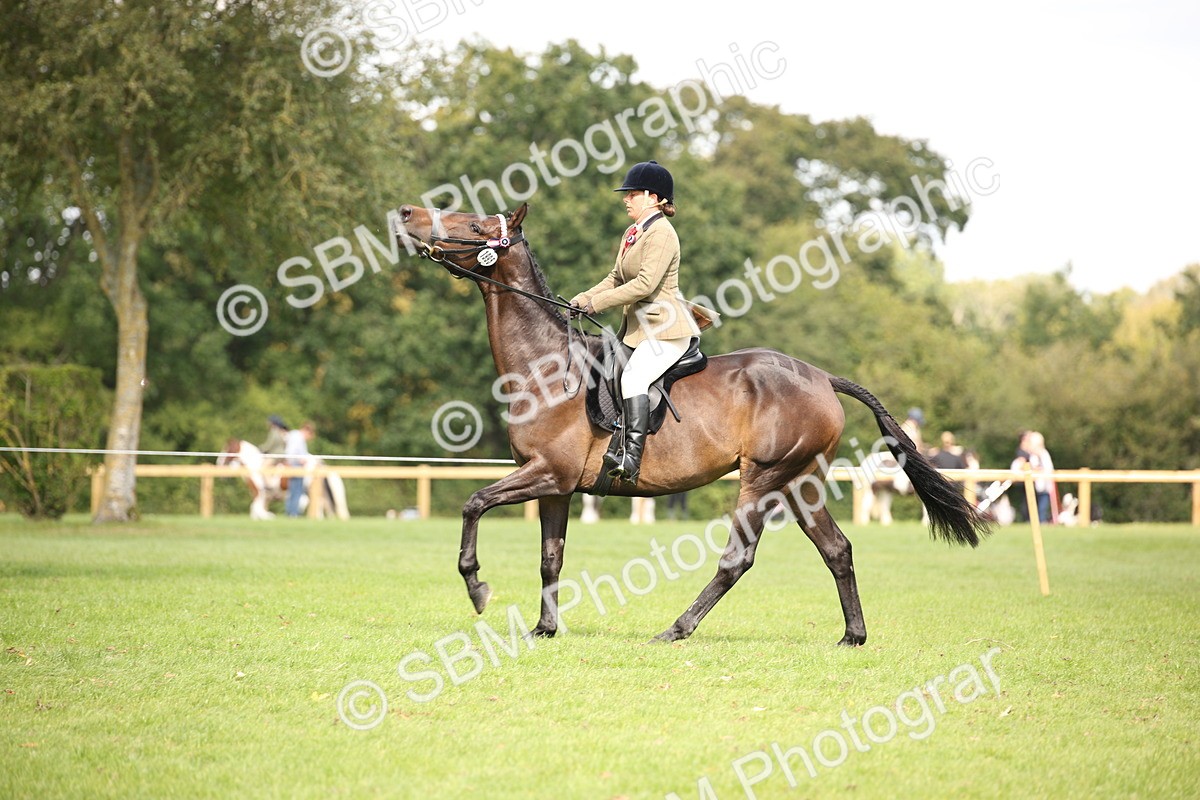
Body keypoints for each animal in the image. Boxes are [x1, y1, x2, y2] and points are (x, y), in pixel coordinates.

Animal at [217, 439, 350, 520]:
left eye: (226, 450)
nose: (218, 463)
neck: (254, 464)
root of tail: (318, 461)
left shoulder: (259, 491)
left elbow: (256, 506)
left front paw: (268, 516)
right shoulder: (264, 495)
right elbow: (255, 507)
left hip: (307, 487)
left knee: (309, 501)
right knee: (319, 503)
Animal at [394, 202, 990, 646]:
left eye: (475, 227)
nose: (407, 213)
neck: (546, 367)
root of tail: (822, 378)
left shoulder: (548, 474)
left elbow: (473, 503)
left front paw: (477, 587)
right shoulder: (557, 487)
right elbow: (550, 557)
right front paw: (544, 629)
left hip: (763, 478)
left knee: (738, 558)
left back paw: (676, 629)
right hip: (802, 481)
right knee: (837, 550)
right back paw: (852, 636)